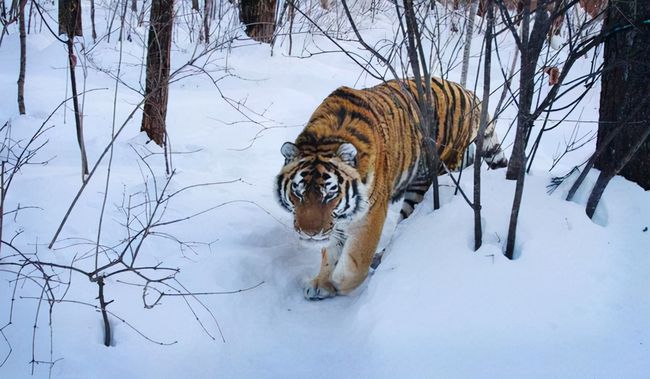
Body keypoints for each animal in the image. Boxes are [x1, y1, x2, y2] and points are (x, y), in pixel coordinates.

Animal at [274, 78, 506, 302]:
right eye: (298, 192)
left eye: (330, 194)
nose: (309, 233)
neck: (325, 138)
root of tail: (467, 91)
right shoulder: (339, 219)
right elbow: (330, 251)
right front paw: (322, 283)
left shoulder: (370, 213)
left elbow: (356, 260)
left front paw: (339, 282)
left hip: (433, 172)